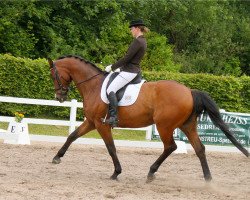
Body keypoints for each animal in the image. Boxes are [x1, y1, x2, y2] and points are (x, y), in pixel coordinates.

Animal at [47, 55, 249, 182]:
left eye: (53, 75)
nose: (59, 97)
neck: (94, 85)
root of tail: (189, 91)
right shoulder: (91, 122)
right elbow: (72, 135)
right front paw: (57, 157)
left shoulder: (101, 124)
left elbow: (111, 148)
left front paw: (116, 172)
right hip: (187, 125)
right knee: (199, 148)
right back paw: (207, 179)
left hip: (164, 126)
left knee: (171, 147)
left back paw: (151, 172)